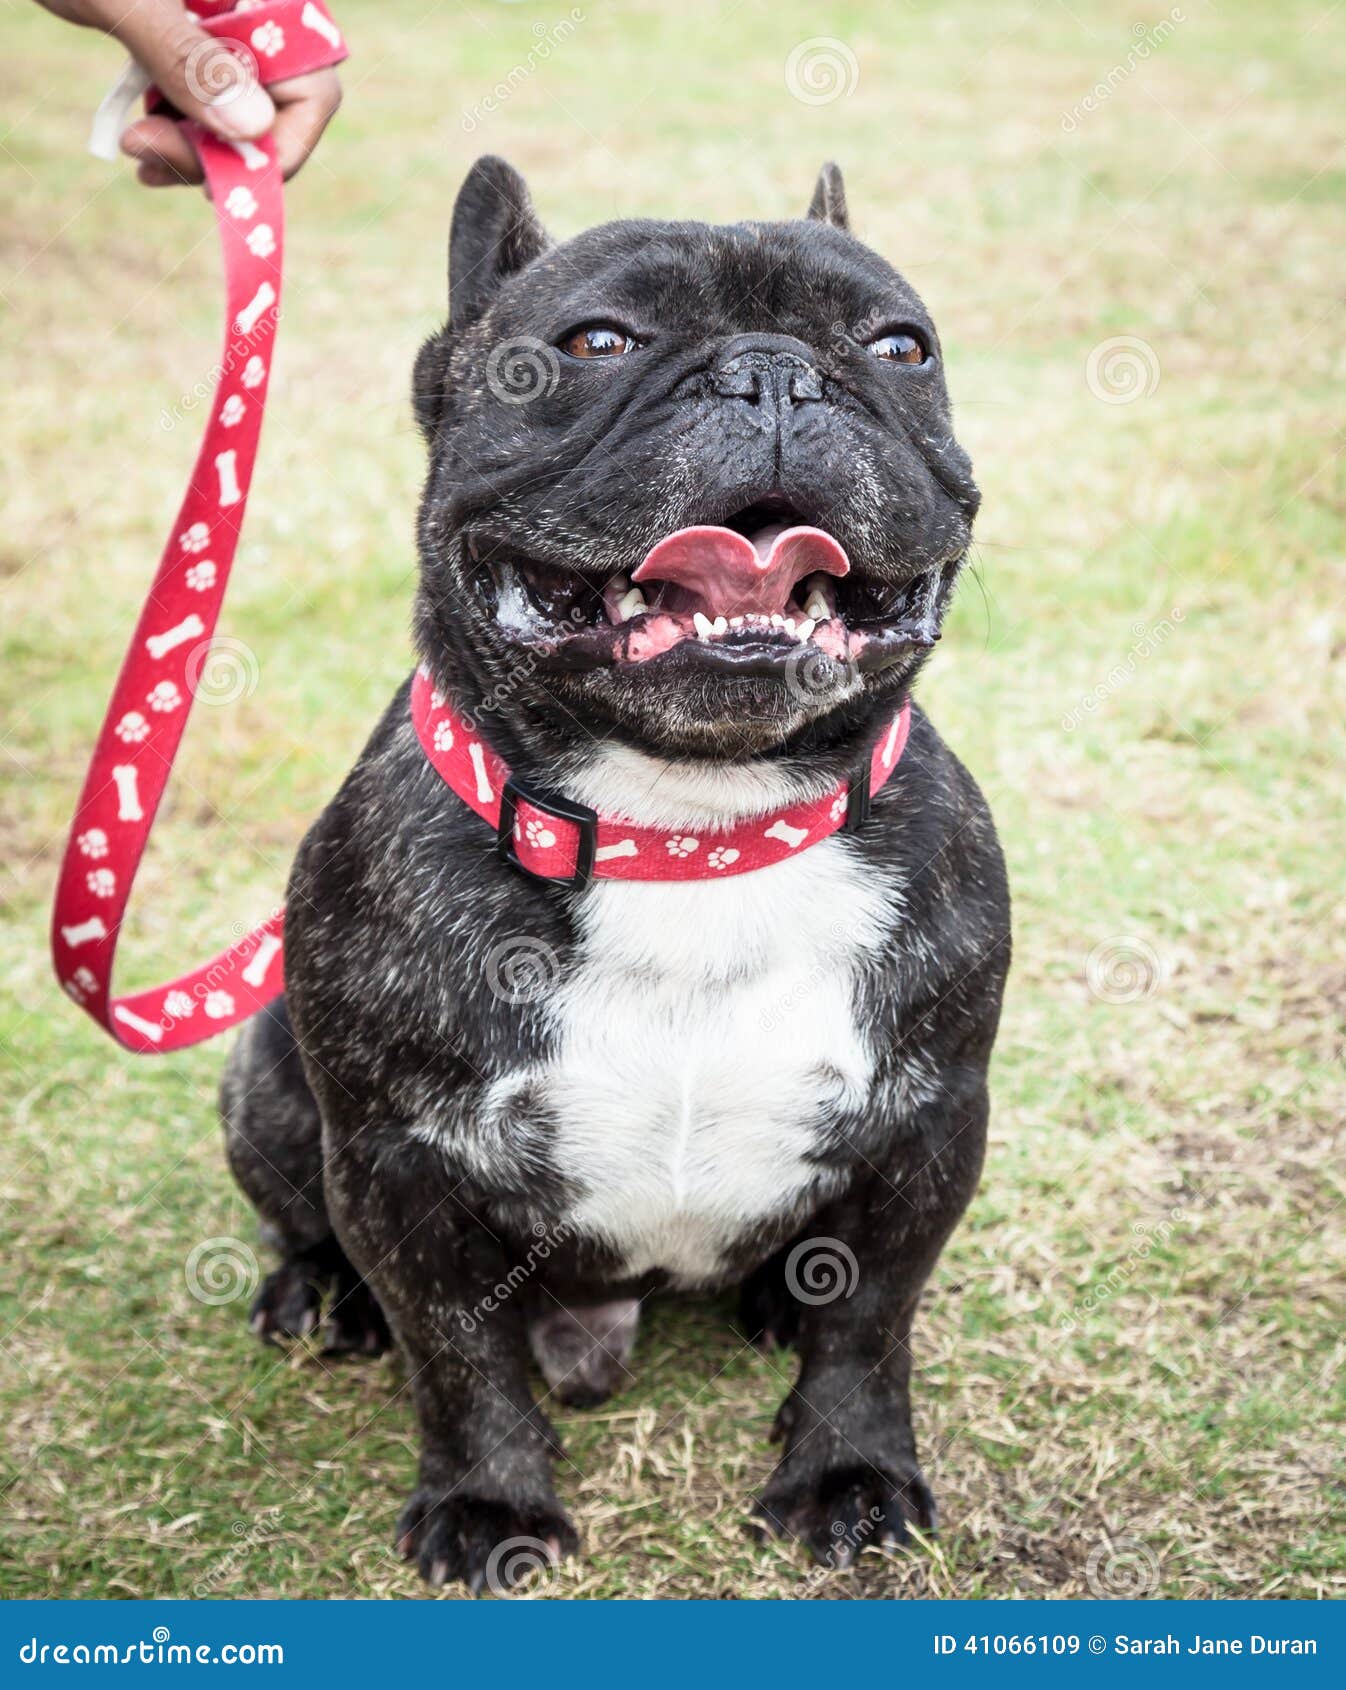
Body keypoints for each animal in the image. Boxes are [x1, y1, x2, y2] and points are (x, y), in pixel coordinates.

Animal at [223, 155, 1007, 1581]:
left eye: (897, 349)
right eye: (595, 343)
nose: (772, 373)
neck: (688, 824)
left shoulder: (930, 1126)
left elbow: (870, 1325)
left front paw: (850, 1474)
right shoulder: (399, 1167)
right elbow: (459, 1358)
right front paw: (489, 1506)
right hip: (265, 1070)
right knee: (304, 1221)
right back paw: (321, 1296)